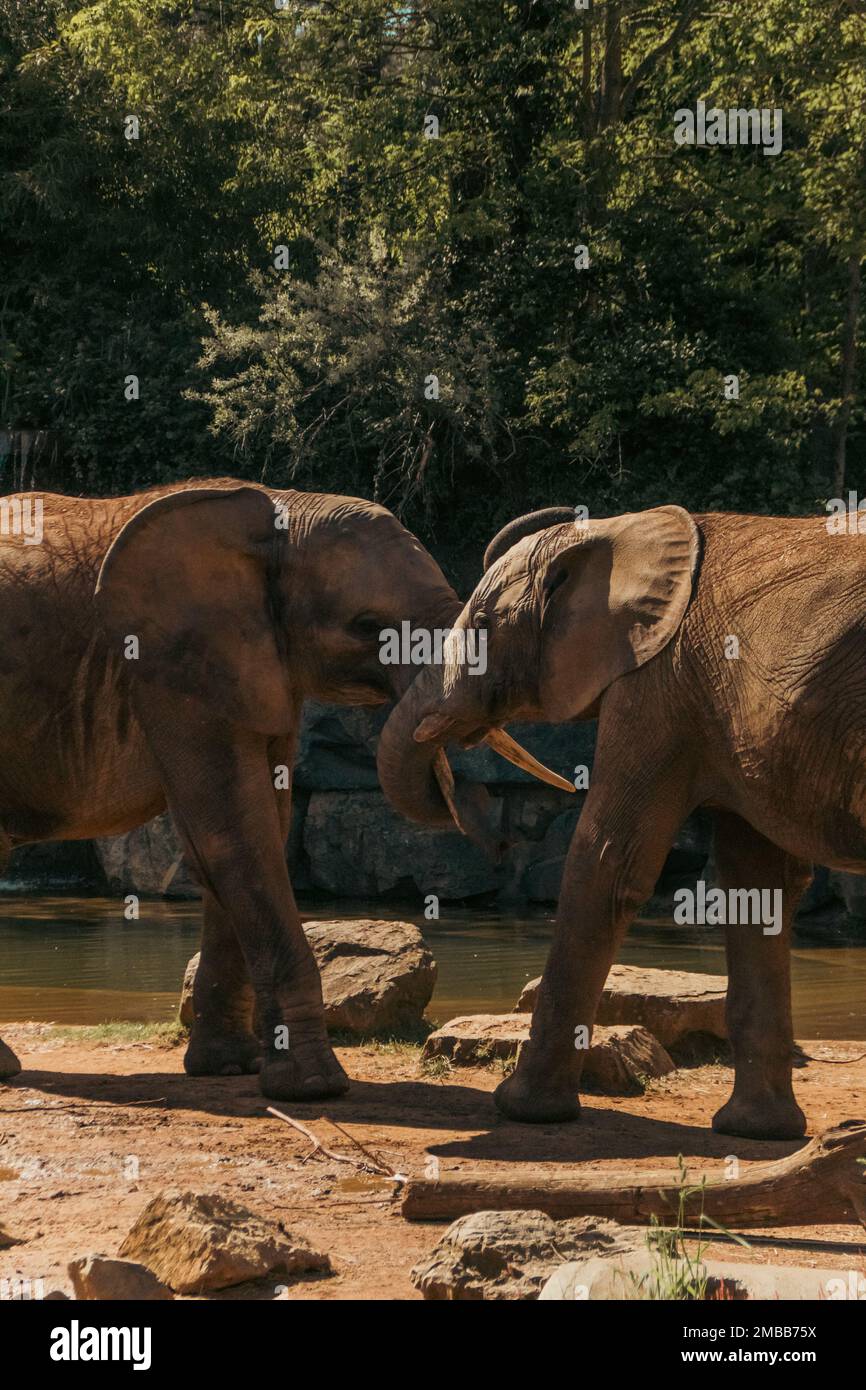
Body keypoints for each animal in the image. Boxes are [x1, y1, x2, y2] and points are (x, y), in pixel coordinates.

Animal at [0, 483, 556, 1100]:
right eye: (367, 625)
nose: (499, 835)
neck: (278, 508)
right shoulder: (171, 666)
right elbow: (233, 831)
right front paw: (313, 1088)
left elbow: (252, 824)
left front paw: (230, 1069)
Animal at [378, 503, 866, 1139]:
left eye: (483, 622)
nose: (490, 829)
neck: (622, 527)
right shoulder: (723, 709)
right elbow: (758, 884)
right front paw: (756, 1131)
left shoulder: (657, 683)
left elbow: (607, 862)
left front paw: (522, 1110)